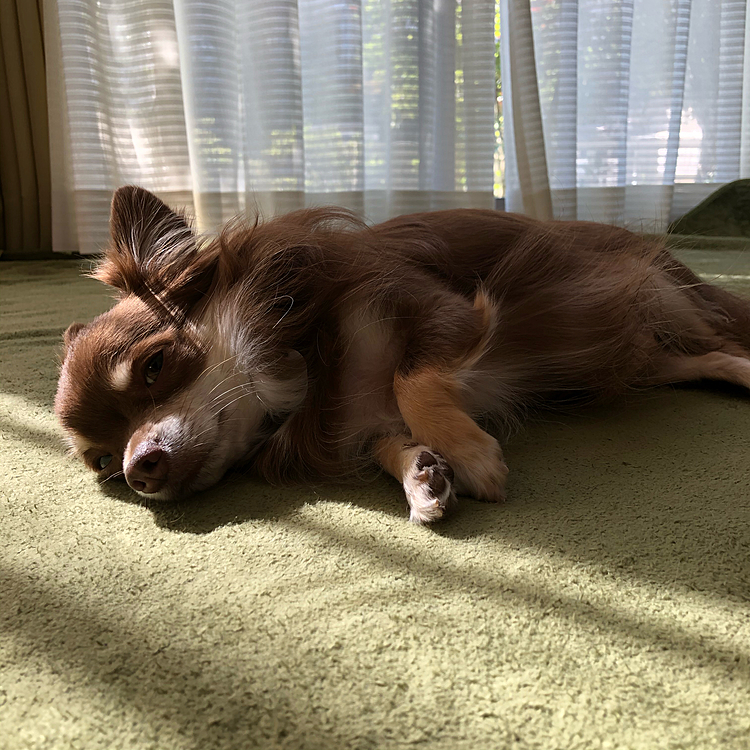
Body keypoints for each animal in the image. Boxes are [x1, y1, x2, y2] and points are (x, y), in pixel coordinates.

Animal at [55, 186, 750, 524]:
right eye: (104, 465)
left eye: (155, 365)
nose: (138, 470)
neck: (304, 371)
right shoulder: (361, 421)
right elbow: (390, 434)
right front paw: (422, 473)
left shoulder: (441, 311)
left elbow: (410, 380)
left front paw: (469, 454)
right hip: (621, 350)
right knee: (699, 358)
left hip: (655, 295)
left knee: (721, 339)